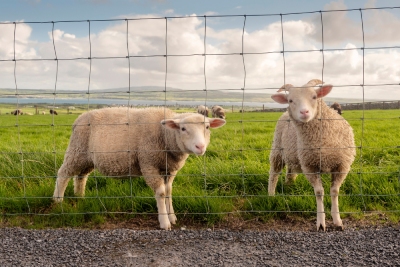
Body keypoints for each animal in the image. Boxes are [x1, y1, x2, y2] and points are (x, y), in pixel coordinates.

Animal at [53, 107, 227, 230]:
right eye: (183, 129)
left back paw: (80, 197)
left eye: (207, 127)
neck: (165, 135)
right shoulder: (149, 163)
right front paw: (164, 222)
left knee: (81, 176)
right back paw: (58, 201)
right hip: (77, 150)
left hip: (88, 158)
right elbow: (161, 193)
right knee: (63, 174)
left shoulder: (169, 169)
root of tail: (78, 118)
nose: (200, 147)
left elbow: (169, 191)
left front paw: (172, 217)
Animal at [268, 78, 356, 231]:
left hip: (294, 155)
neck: (322, 142)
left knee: (290, 171)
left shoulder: (342, 165)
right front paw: (321, 222)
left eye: (314, 97)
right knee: (274, 173)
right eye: (290, 100)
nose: (304, 112)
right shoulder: (310, 166)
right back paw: (271, 195)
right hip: (278, 149)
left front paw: (337, 220)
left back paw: (289, 186)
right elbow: (319, 192)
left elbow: (334, 191)